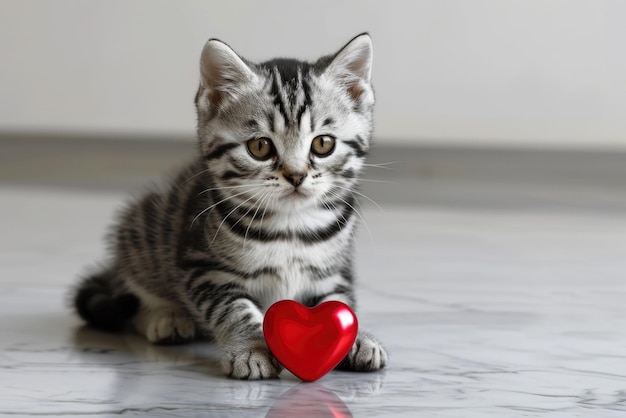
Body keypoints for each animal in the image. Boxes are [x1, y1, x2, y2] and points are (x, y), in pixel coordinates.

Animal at [72, 32, 386, 378]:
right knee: (134, 296)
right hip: (141, 229)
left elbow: (339, 302)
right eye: (260, 146)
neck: (290, 226)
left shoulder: (332, 271)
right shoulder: (204, 267)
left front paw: (356, 339)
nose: (296, 176)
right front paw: (252, 348)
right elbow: (233, 308)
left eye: (323, 143)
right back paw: (166, 316)